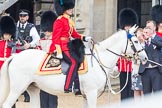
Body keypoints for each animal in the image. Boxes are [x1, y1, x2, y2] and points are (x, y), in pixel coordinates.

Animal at [0, 29, 147, 108]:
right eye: (136, 41)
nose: (145, 58)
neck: (99, 61)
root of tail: (15, 56)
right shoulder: (91, 93)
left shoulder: (86, 95)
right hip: (17, 88)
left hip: (33, 88)